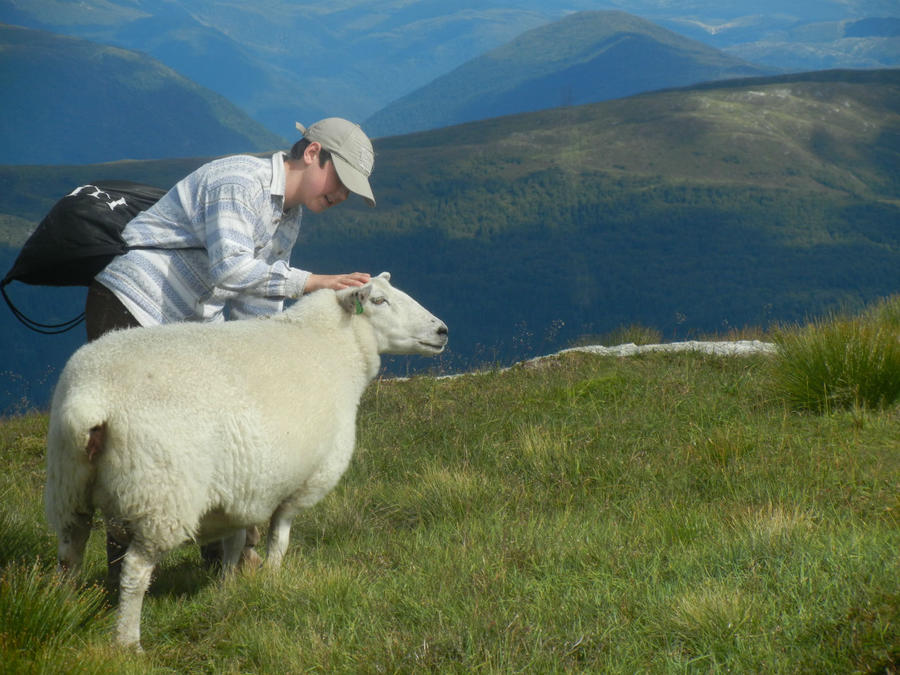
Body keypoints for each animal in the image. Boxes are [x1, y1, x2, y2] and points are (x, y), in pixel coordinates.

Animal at [44, 272, 448, 648]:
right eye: (378, 300)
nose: (442, 330)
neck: (332, 345)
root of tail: (92, 398)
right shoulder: (302, 482)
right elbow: (279, 538)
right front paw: (272, 579)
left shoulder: (243, 485)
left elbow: (234, 543)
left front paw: (227, 588)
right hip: (160, 496)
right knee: (134, 571)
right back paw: (129, 642)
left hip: (69, 483)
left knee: (69, 557)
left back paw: (66, 611)